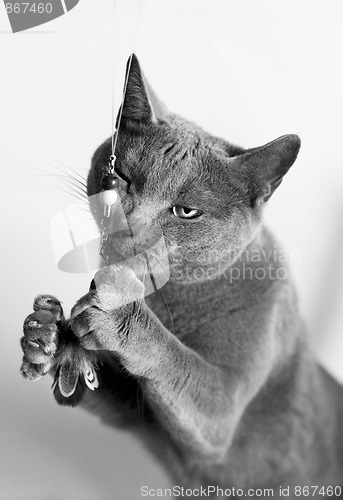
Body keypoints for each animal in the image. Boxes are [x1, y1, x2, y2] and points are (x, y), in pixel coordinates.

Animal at [20, 52, 343, 498]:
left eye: (186, 211)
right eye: (119, 175)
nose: (127, 224)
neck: (168, 299)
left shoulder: (222, 410)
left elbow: (181, 364)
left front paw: (116, 314)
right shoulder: (141, 418)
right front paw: (47, 333)